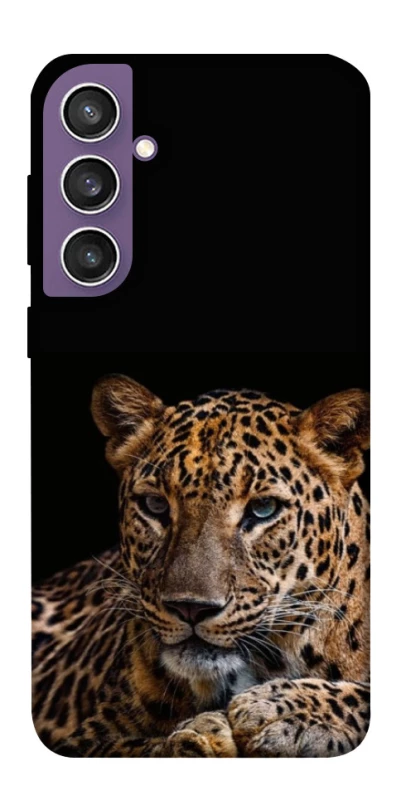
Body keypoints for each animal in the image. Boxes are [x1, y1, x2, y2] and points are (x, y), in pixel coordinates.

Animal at [32, 375, 370, 757]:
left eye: (263, 509)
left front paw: (280, 710)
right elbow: (144, 747)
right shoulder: (86, 739)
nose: (190, 608)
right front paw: (205, 735)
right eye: (155, 505)